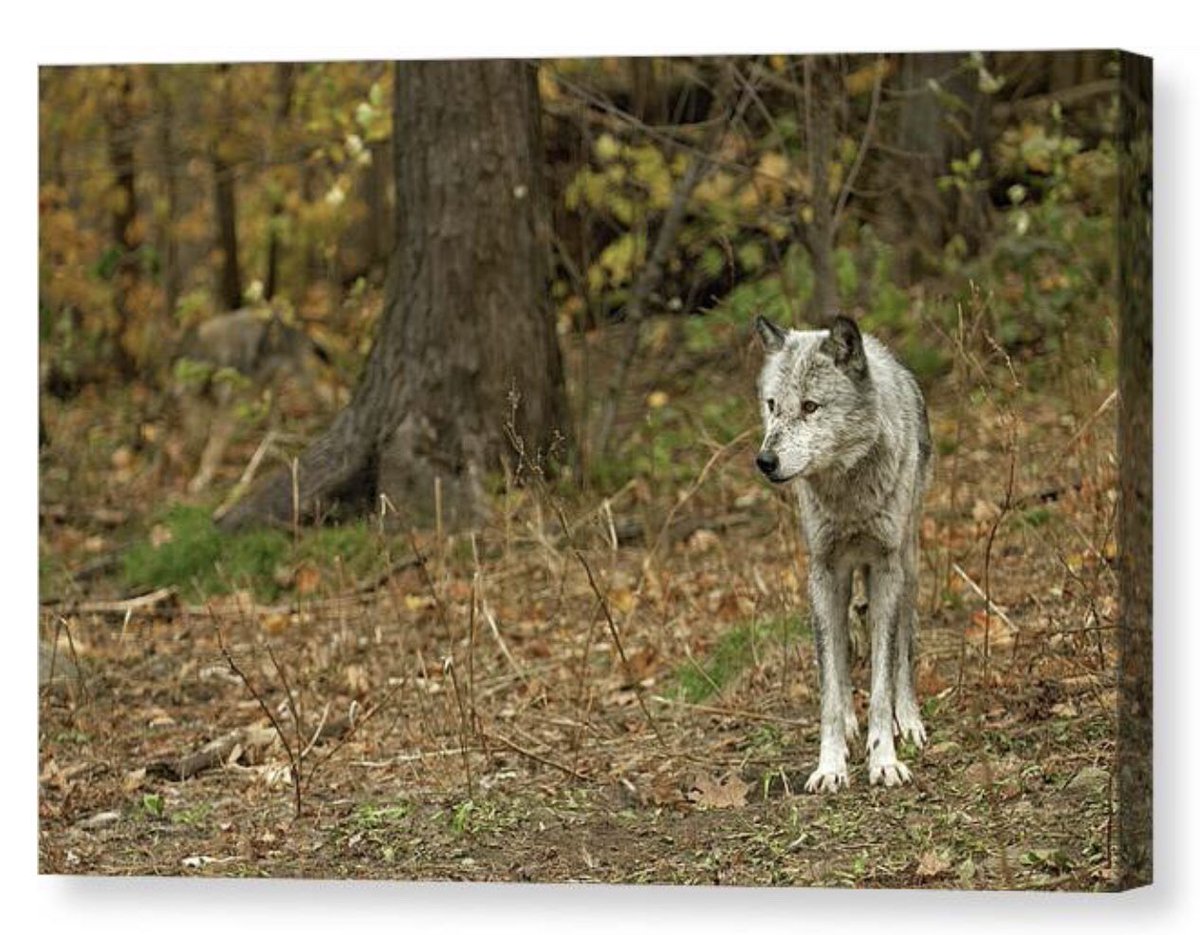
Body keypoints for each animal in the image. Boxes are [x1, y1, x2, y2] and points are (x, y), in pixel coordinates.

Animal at [754, 313, 931, 792]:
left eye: (811, 407)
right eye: (773, 406)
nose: (765, 461)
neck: (848, 491)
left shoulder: (886, 568)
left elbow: (883, 680)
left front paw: (884, 760)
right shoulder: (823, 572)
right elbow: (830, 686)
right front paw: (830, 766)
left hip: (907, 567)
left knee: (904, 649)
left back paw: (908, 721)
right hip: (844, 580)